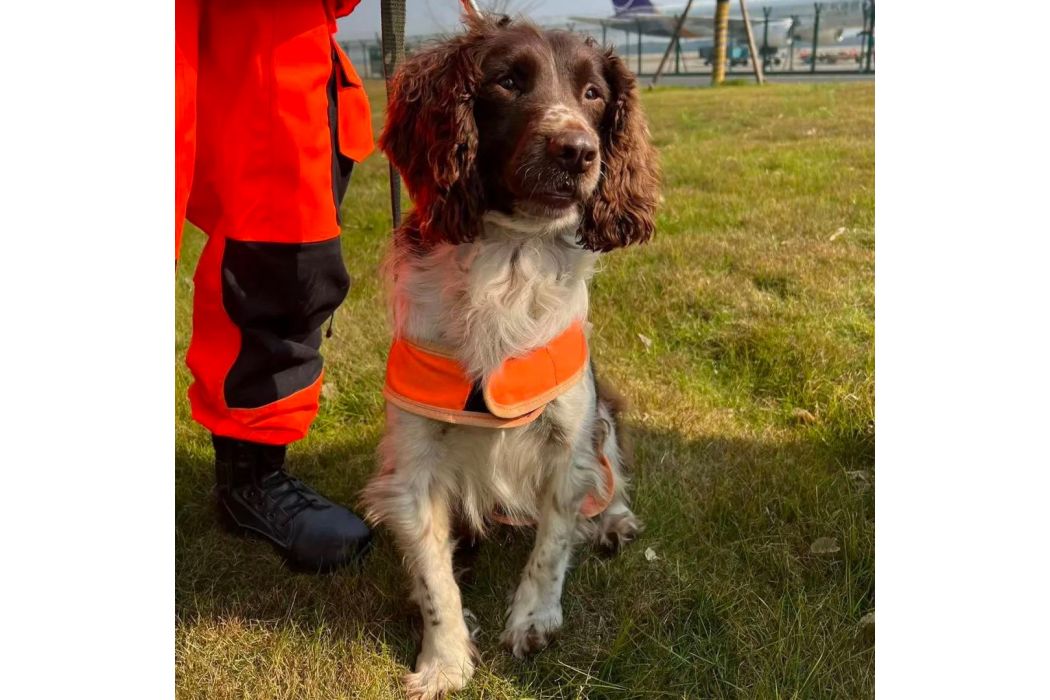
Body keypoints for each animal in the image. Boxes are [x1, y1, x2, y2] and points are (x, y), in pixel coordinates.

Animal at [361, 12, 655, 700]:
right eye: (507, 82)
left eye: (593, 93)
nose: (577, 151)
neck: (511, 258)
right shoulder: (414, 466)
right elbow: (434, 577)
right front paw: (444, 661)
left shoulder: (569, 438)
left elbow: (551, 543)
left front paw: (533, 620)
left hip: (605, 411)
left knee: (610, 472)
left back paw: (613, 521)